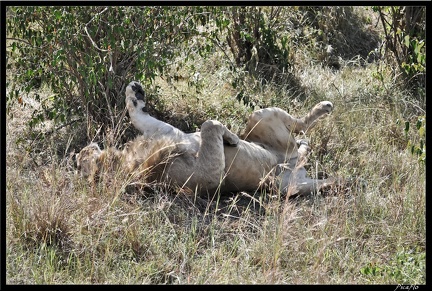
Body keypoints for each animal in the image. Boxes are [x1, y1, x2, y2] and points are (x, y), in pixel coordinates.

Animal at [77, 81, 334, 197]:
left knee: (301, 130)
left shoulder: (166, 131)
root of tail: (289, 161)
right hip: (288, 185)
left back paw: (317, 119)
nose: (77, 153)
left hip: (260, 116)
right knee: (305, 136)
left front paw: (134, 93)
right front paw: (232, 138)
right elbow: (209, 124)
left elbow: (137, 115)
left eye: (80, 159)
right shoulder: (208, 176)